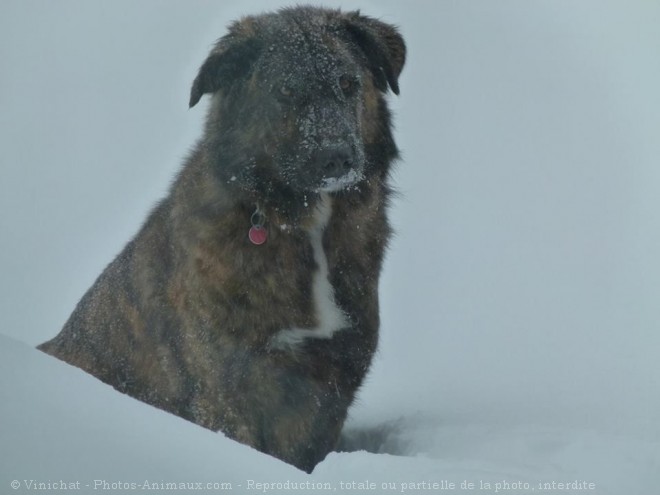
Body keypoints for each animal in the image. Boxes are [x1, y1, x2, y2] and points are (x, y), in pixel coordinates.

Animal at [40, 6, 408, 472]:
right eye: (285, 90)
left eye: (348, 82)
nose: (337, 158)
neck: (299, 224)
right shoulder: (227, 390)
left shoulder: (326, 387)